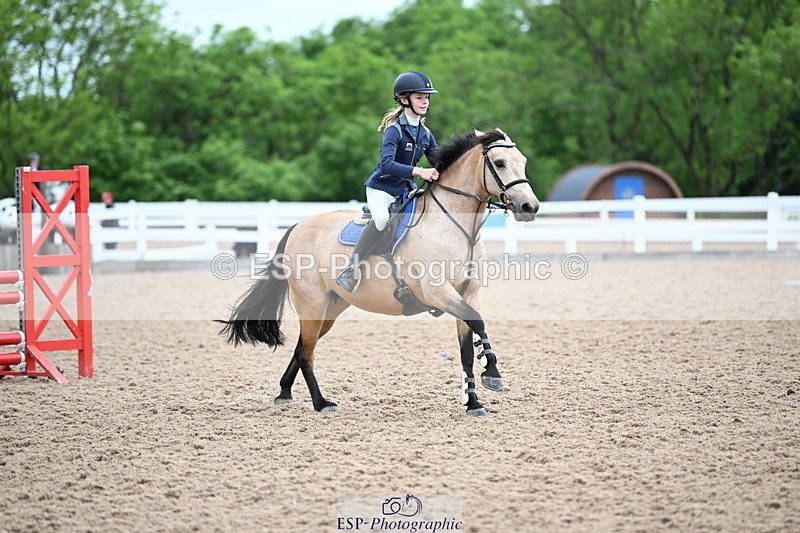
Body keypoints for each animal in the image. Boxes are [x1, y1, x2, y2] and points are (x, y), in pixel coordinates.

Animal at [218, 128, 540, 416]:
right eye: (499, 162)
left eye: (522, 161)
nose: (530, 207)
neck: (455, 227)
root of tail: (299, 225)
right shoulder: (438, 291)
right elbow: (478, 323)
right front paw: (493, 374)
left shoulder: (468, 293)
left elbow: (467, 349)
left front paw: (473, 402)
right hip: (312, 303)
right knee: (307, 352)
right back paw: (322, 403)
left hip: (330, 308)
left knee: (302, 348)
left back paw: (285, 393)